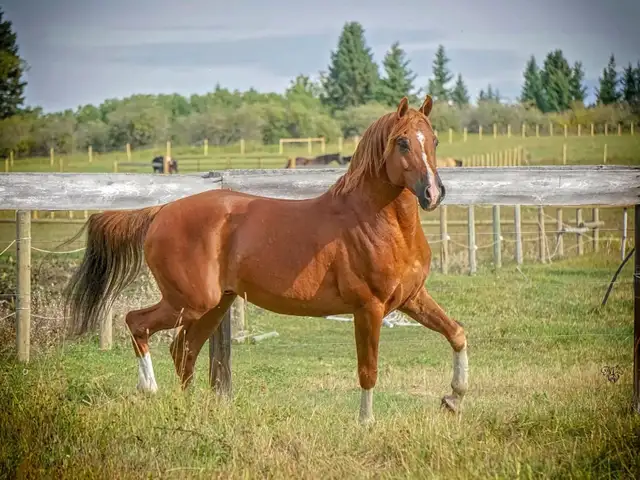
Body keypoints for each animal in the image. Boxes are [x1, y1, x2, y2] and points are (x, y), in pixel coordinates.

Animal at [63, 95, 468, 425]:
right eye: (402, 141)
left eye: (433, 140)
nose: (433, 193)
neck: (376, 222)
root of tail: (160, 212)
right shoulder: (369, 308)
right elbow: (368, 370)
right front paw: (366, 423)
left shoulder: (412, 298)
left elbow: (457, 332)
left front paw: (454, 398)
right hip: (189, 302)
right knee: (138, 323)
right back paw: (149, 390)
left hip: (212, 306)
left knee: (183, 351)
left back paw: (188, 409)